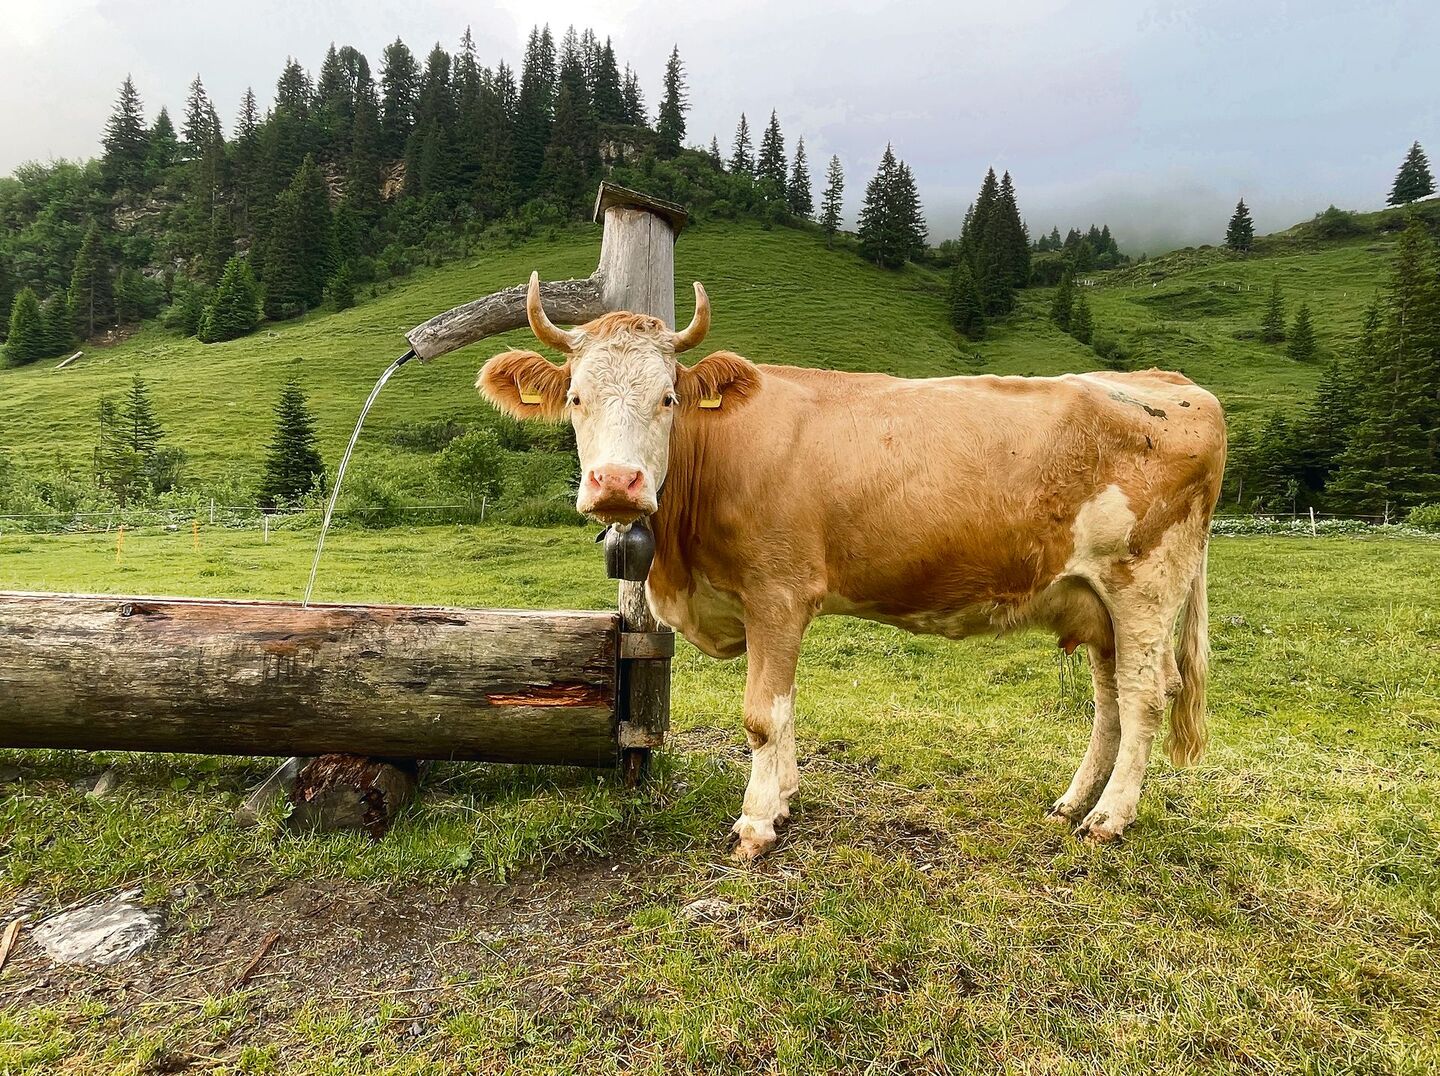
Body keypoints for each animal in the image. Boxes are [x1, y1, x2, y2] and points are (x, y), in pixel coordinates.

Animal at [479, 273, 1227, 861]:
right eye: (577, 397)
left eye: (667, 397)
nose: (617, 482)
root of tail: (1173, 384)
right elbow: (784, 711)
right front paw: (784, 798)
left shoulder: (777, 592)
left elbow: (761, 714)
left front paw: (756, 823)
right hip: (1095, 601)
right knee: (1109, 702)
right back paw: (1073, 803)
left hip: (1143, 586)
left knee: (1144, 696)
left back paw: (1109, 819)